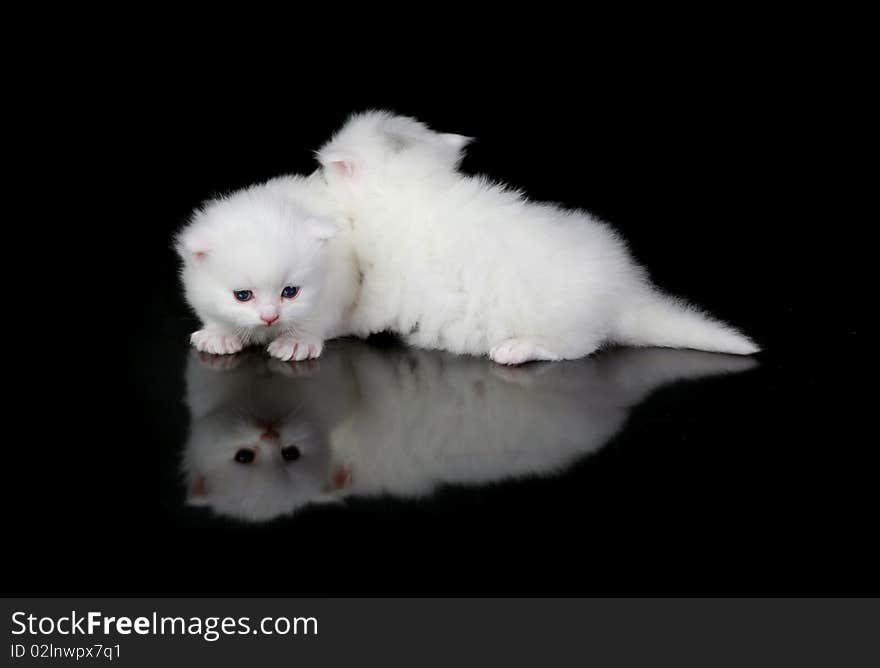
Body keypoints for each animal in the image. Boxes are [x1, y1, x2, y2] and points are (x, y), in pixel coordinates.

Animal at [175, 174, 358, 360]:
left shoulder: (335, 290)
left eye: (290, 291)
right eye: (242, 295)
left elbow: (315, 319)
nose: (270, 317)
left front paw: (296, 341)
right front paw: (220, 334)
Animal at [320, 113, 760, 366]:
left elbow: (358, 314)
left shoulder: (382, 287)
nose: (321, 179)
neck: (407, 187)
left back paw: (517, 350)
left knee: (577, 348)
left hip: (563, 326)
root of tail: (626, 297)